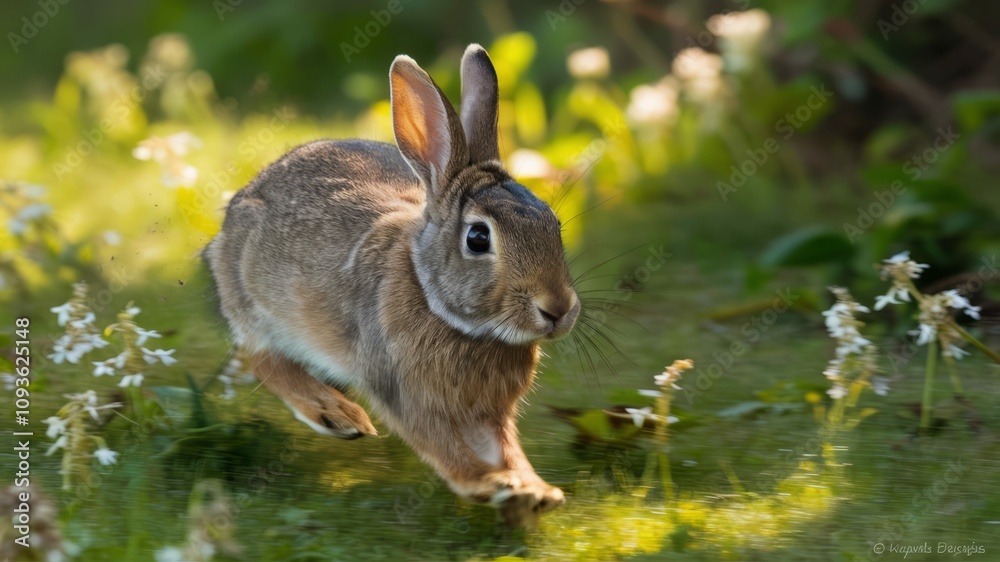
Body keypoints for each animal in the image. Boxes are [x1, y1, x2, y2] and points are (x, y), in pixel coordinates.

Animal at [203, 44, 580, 527]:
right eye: (478, 239)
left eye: (554, 225)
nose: (558, 309)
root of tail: (241, 203)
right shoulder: (402, 390)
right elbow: (440, 444)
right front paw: (490, 485)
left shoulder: (489, 411)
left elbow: (507, 447)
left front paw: (533, 490)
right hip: (256, 306)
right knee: (260, 356)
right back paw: (336, 414)